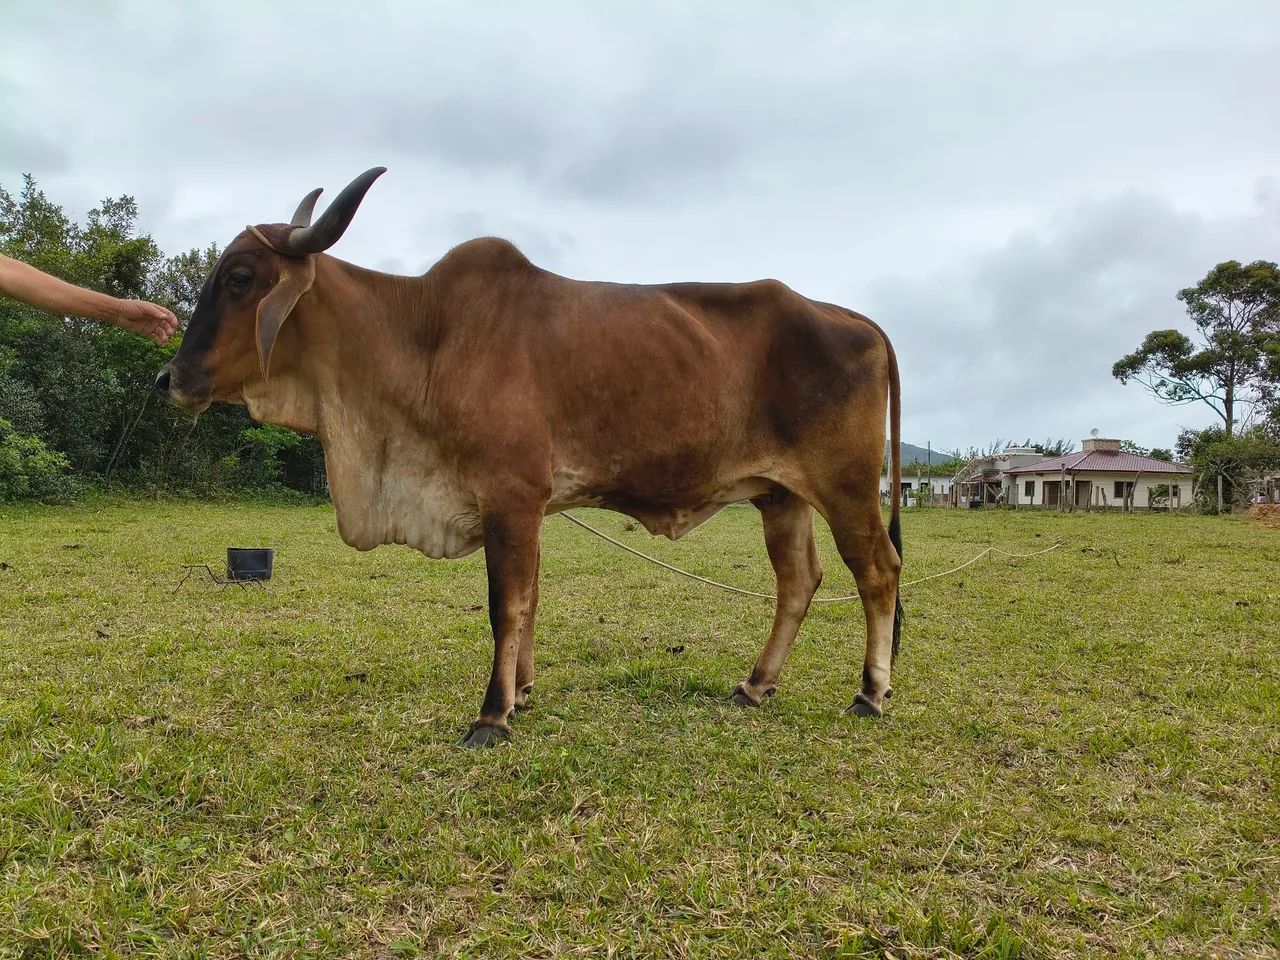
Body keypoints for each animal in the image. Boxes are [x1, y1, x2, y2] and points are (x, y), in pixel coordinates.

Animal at [157, 168, 904, 747]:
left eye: (240, 278)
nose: (170, 377)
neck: (425, 338)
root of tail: (854, 318)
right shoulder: (529, 508)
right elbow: (533, 598)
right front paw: (521, 693)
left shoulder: (509, 497)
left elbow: (507, 604)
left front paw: (492, 714)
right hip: (781, 495)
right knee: (799, 580)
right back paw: (755, 684)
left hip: (845, 486)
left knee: (877, 572)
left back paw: (870, 692)